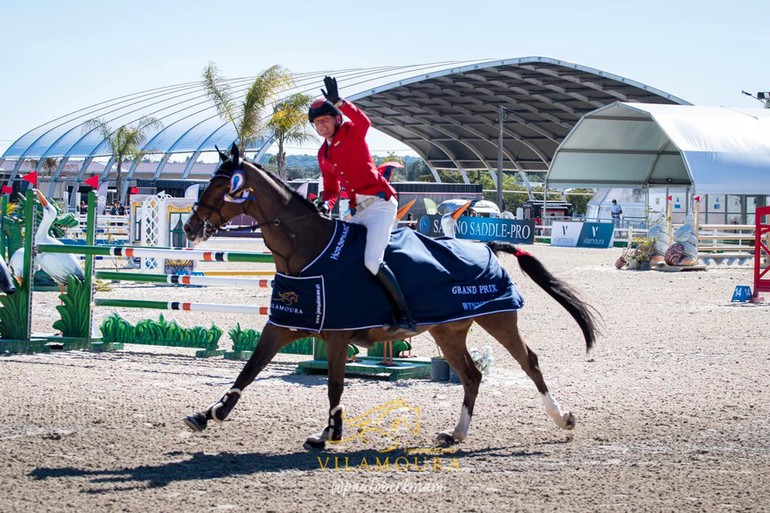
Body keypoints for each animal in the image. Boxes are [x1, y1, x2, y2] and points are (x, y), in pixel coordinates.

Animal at [183, 144, 596, 448]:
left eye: (220, 187)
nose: (189, 227)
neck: (306, 250)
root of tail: (487, 246)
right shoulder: (282, 325)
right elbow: (250, 369)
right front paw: (208, 414)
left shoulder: (337, 335)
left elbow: (334, 384)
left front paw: (329, 432)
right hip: (448, 330)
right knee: (472, 375)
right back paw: (456, 433)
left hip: (498, 319)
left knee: (530, 363)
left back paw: (563, 419)